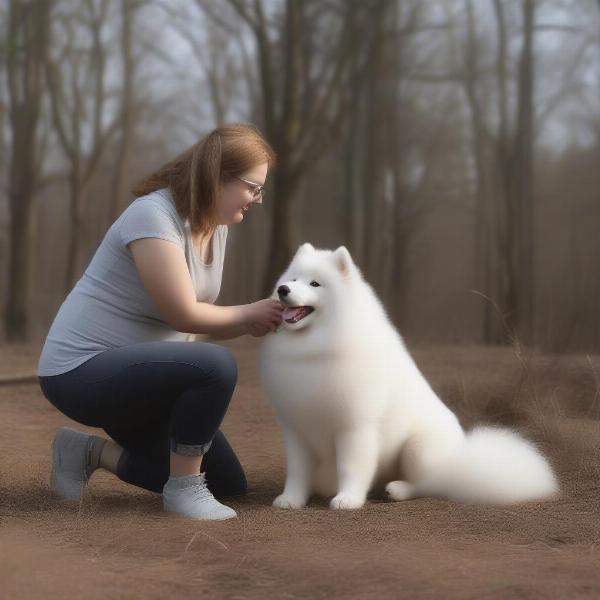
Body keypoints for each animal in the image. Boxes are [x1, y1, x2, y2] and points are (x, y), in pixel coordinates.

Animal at [260, 244, 560, 510]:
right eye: (292, 279)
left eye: (315, 284)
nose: (283, 290)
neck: (314, 348)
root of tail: (463, 458)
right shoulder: (296, 430)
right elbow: (298, 472)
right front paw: (291, 499)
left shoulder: (355, 427)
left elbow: (351, 466)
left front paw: (348, 499)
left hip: (419, 449)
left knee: (431, 484)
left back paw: (397, 489)